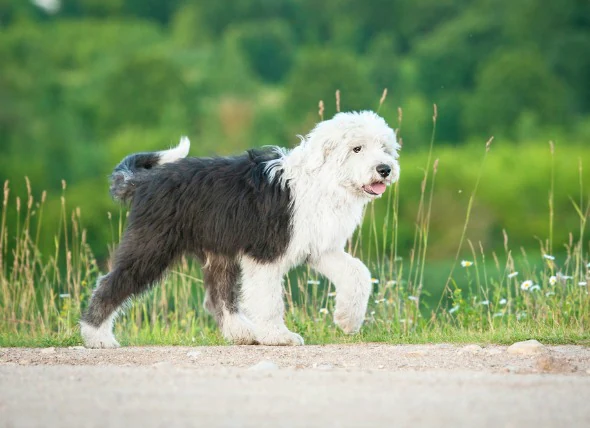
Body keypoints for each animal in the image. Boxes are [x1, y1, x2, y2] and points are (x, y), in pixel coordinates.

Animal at [80, 110, 402, 348]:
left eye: (384, 148)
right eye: (356, 148)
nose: (385, 168)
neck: (323, 180)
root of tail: (147, 181)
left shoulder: (321, 247)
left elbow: (358, 273)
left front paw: (347, 320)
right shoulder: (266, 253)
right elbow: (269, 299)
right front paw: (278, 336)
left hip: (219, 253)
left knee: (217, 298)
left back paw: (243, 333)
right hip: (151, 246)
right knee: (110, 283)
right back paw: (96, 336)